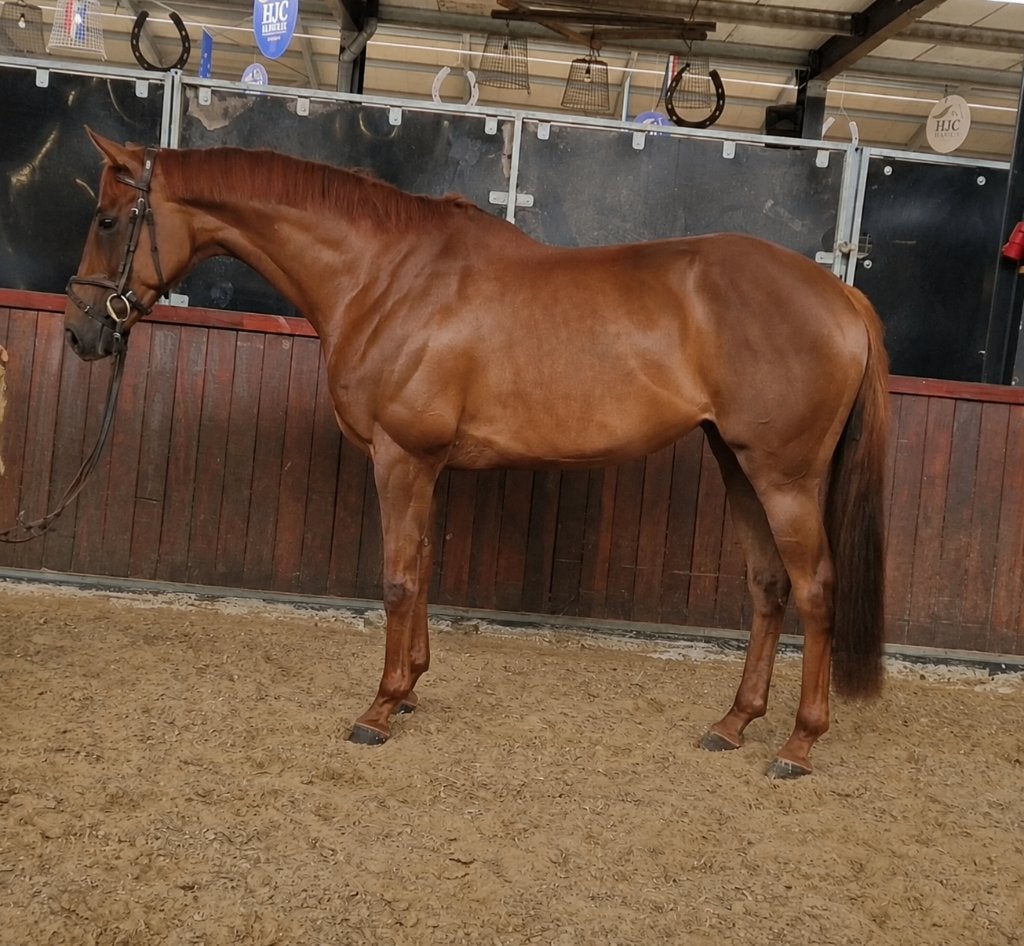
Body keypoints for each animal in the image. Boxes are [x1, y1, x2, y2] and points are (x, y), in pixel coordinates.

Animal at [63, 130, 890, 778]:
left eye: (107, 219)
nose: (81, 332)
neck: (387, 277)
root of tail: (841, 297)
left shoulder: (401, 457)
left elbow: (398, 578)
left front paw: (379, 708)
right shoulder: (427, 465)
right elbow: (425, 567)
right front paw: (412, 688)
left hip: (784, 476)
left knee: (815, 589)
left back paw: (797, 745)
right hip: (737, 464)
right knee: (768, 587)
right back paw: (732, 724)